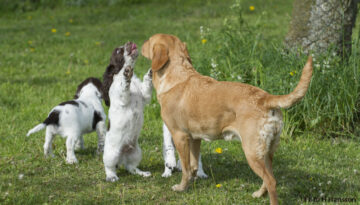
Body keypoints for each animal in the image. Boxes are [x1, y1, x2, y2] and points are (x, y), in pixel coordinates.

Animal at [102, 41, 153, 181]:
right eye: (118, 51)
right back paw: (112, 177)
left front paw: (150, 73)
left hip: (136, 152)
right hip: (111, 154)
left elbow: (146, 86)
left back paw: (142, 173)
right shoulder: (121, 96)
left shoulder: (144, 96)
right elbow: (123, 88)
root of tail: (122, 156)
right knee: (109, 167)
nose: (130, 43)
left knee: (131, 167)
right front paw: (125, 76)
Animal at [141, 33, 312, 203]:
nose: (140, 44)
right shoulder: (195, 138)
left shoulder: (179, 136)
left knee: (271, 181)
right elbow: (193, 165)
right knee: (269, 177)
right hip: (267, 152)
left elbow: (185, 167)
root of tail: (266, 98)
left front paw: (181, 187)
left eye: (149, 40)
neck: (177, 75)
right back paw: (259, 194)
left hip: (251, 151)